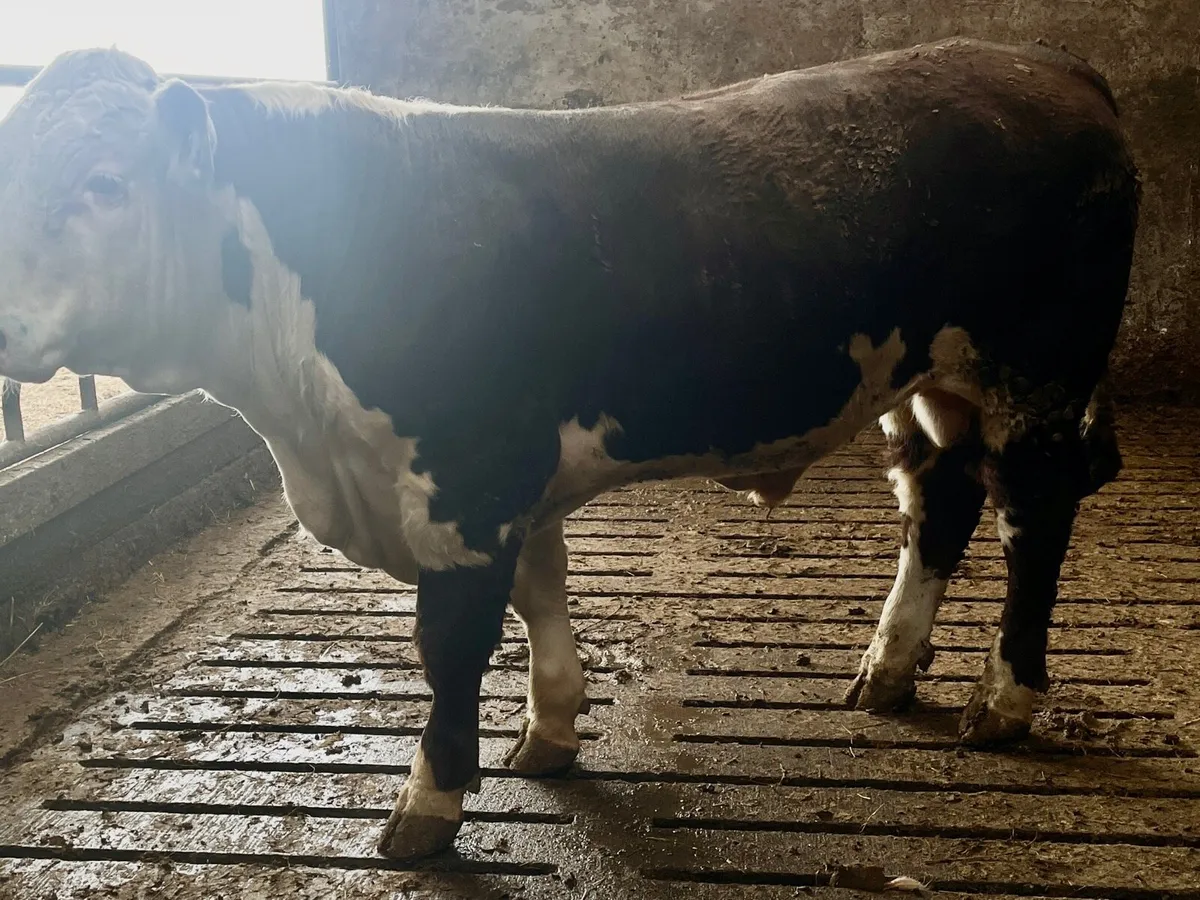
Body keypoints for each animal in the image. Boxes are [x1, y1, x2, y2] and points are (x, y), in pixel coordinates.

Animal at [0, 38, 1138, 861]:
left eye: (104, 182)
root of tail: (1045, 65)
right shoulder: (510, 486)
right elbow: (540, 593)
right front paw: (549, 731)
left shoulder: (467, 480)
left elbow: (452, 648)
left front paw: (428, 808)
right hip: (932, 380)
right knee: (940, 501)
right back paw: (889, 669)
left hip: (1038, 377)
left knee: (1033, 519)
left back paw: (1003, 699)